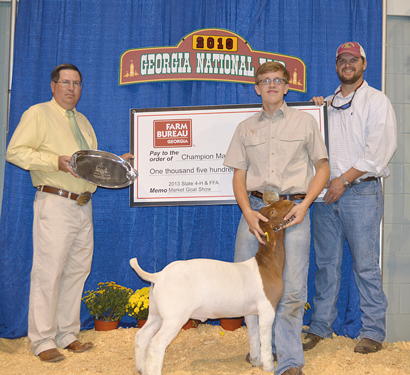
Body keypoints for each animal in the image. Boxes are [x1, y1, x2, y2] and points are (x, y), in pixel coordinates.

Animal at [130, 198, 294, 374]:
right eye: (272, 212)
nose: (288, 200)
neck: (267, 264)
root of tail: (160, 275)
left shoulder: (250, 313)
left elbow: (254, 336)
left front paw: (255, 362)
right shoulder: (267, 308)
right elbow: (265, 339)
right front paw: (268, 367)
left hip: (156, 313)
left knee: (142, 335)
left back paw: (141, 367)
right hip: (174, 317)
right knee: (157, 343)